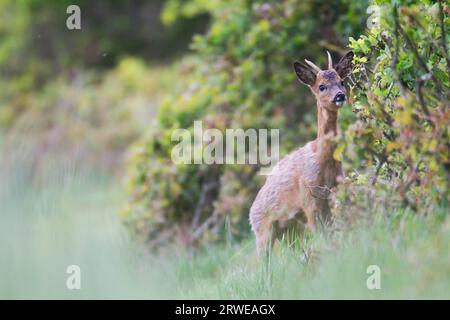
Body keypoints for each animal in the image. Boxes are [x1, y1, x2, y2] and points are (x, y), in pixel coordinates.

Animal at [248, 50, 354, 255]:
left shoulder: (336, 186)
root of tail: (250, 213)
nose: (340, 96)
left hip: (290, 228)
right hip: (263, 231)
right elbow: (320, 233)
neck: (323, 159)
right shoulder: (309, 196)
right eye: (321, 86)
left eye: (342, 81)